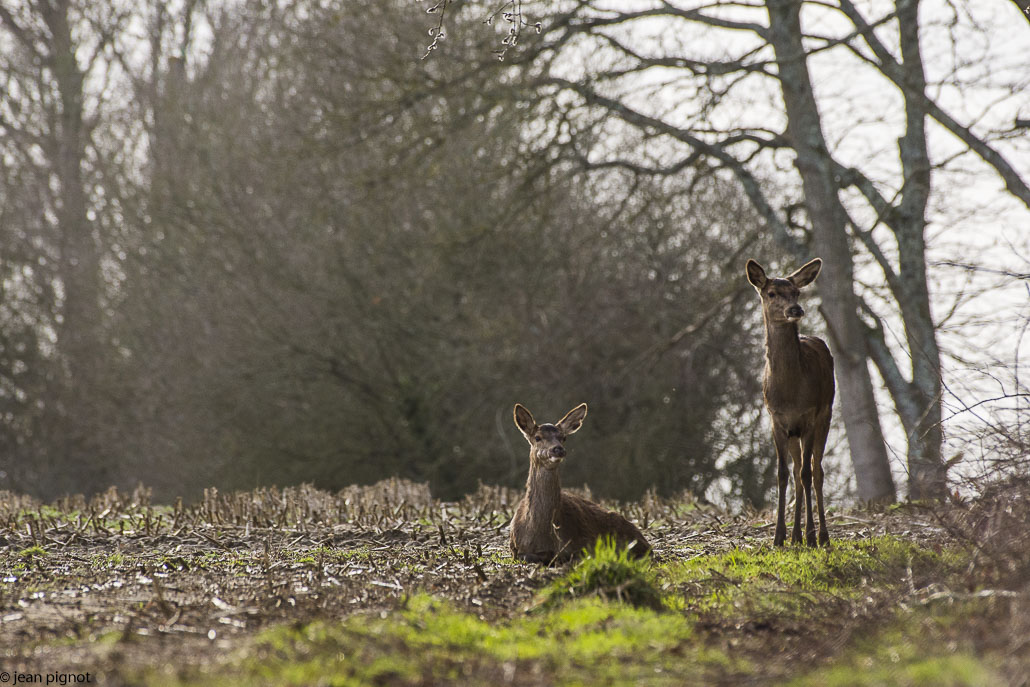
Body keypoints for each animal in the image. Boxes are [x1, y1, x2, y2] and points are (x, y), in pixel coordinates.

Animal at [508, 403, 650, 564]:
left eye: (563, 438)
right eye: (537, 437)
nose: (558, 449)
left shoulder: (579, 546)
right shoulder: (515, 548)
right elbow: (528, 555)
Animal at [749, 259, 836, 547]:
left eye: (797, 292)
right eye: (771, 293)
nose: (795, 310)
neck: (790, 394)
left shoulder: (808, 415)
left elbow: (807, 474)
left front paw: (811, 536)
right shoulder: (776, 420)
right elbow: (783, 474)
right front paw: (778, 537)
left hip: (826, 414)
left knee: (815, 471)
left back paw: (820, 536)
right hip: (793, 432)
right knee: (797, 470)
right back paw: (795, 535)